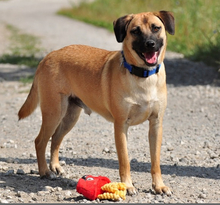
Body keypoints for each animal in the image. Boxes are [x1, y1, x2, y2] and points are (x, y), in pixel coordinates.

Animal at [18, 10, 174, 195]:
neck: (143, 76)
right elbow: (125, 161)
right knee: (40, 141)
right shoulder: (121, 125)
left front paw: (159, 186)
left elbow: (155, 162)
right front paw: (127, 185)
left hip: (70, 116)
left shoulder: (156, 124)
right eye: (135, 31)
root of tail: (48, 56)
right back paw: (44, 171)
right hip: (53, 112)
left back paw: (55, 166)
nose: (150, 44)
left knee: (55, 139)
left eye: (156, 28)